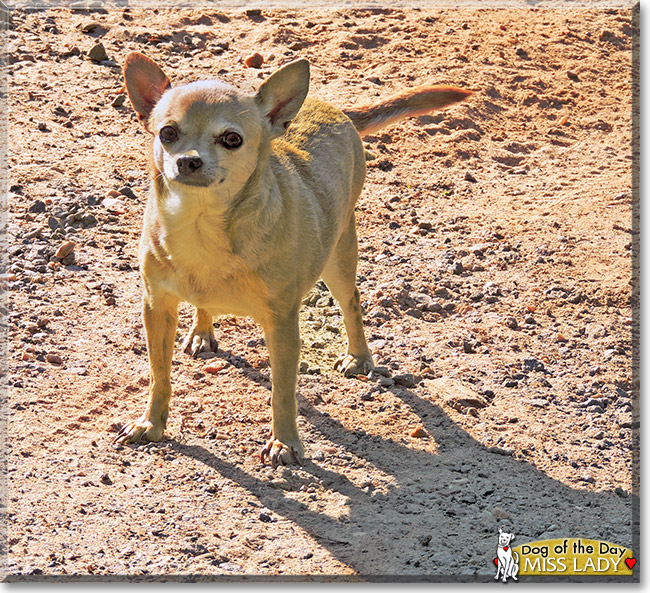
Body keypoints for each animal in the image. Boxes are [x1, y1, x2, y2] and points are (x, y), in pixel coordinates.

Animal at [116, 52, 468, 468]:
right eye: (167, 133)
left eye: (231, 139)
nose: (188, 161)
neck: (201, 225)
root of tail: (334, 107)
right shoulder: (156, 308)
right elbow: (159, 374)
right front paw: (151, 424)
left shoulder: (282, 325)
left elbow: (282, 391)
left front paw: (285, 442)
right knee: (203, 306)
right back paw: (202, 330)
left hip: (339, 258)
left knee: (352, 304)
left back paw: (358, 357)